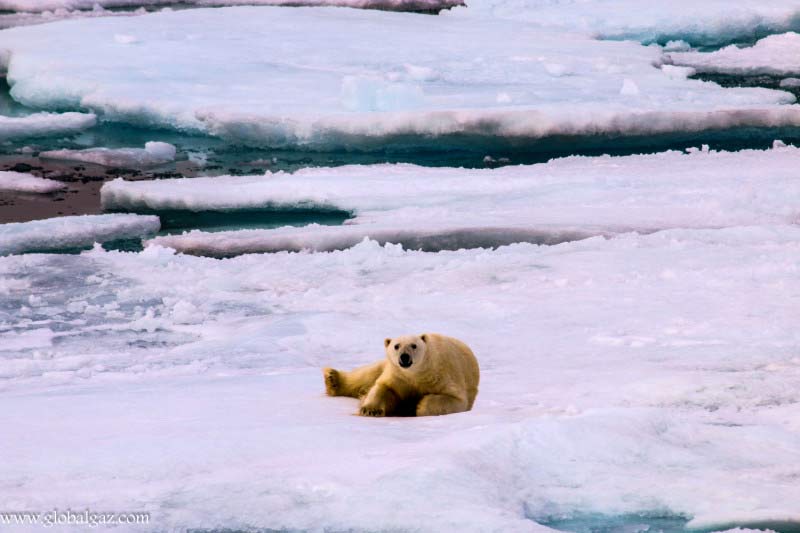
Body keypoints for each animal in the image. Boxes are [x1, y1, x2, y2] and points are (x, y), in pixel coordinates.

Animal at [324, 332, 482, 416]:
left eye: (414, 345)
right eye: (396, 346)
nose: (404, 357)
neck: (416, 374)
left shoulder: (443, 375)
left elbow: (454, 399)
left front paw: (420, 407)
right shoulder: (397, 376)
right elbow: (382, 387)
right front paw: (369, 409)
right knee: (366, 375)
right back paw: (332, 379)